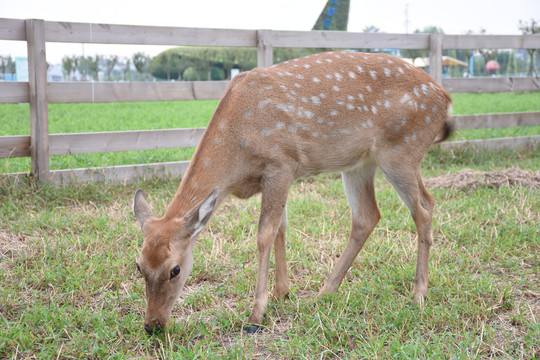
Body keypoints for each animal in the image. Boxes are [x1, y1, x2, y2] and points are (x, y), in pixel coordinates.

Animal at [133, 50, 454, 334]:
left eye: (175, 269)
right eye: (139, 266)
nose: (152, 326)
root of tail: (445, 99)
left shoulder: (281, 163)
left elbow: (264, 234)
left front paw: (256, 314)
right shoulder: (277, 175)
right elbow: (281, 228)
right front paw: (282, 293)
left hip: (401, 149)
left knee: (424, 207)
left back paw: (419, 294)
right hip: (360, 163)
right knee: (368, 216)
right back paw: (325, 292)